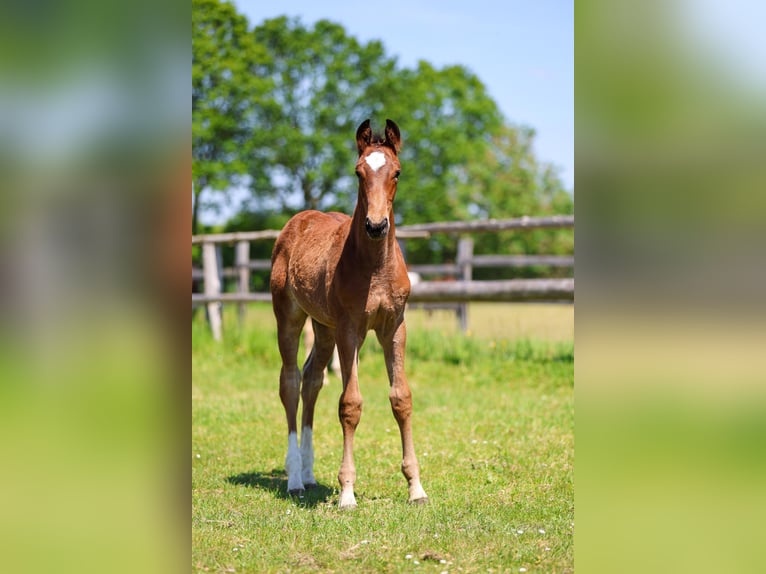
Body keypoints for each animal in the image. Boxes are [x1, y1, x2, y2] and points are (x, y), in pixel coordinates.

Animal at [270, 119, 428, 509]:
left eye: (397, 172)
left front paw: (416, 487)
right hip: (290, 318)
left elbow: (401, 398)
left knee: (312, 379)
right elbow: (350, 404)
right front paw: (346, 492)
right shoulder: (350, 329)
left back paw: (309, 474)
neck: (374, 266)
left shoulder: (394, 327)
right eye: (358, 172)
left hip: (323, 328)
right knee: (290, 382)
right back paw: (294, 479)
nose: (376, 225)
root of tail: (296, 222)